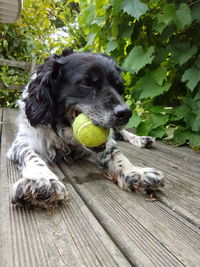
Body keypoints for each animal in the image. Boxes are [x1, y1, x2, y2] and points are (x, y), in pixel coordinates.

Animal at [7, 49, 165, 210]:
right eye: (86, 83)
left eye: (119, 87)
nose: (126, 113)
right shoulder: (23, 142)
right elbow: (32, 157)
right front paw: (42, 180)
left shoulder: (108, 144)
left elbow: (118, 155)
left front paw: (135, 172)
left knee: (121, 132)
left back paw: (142, 140)